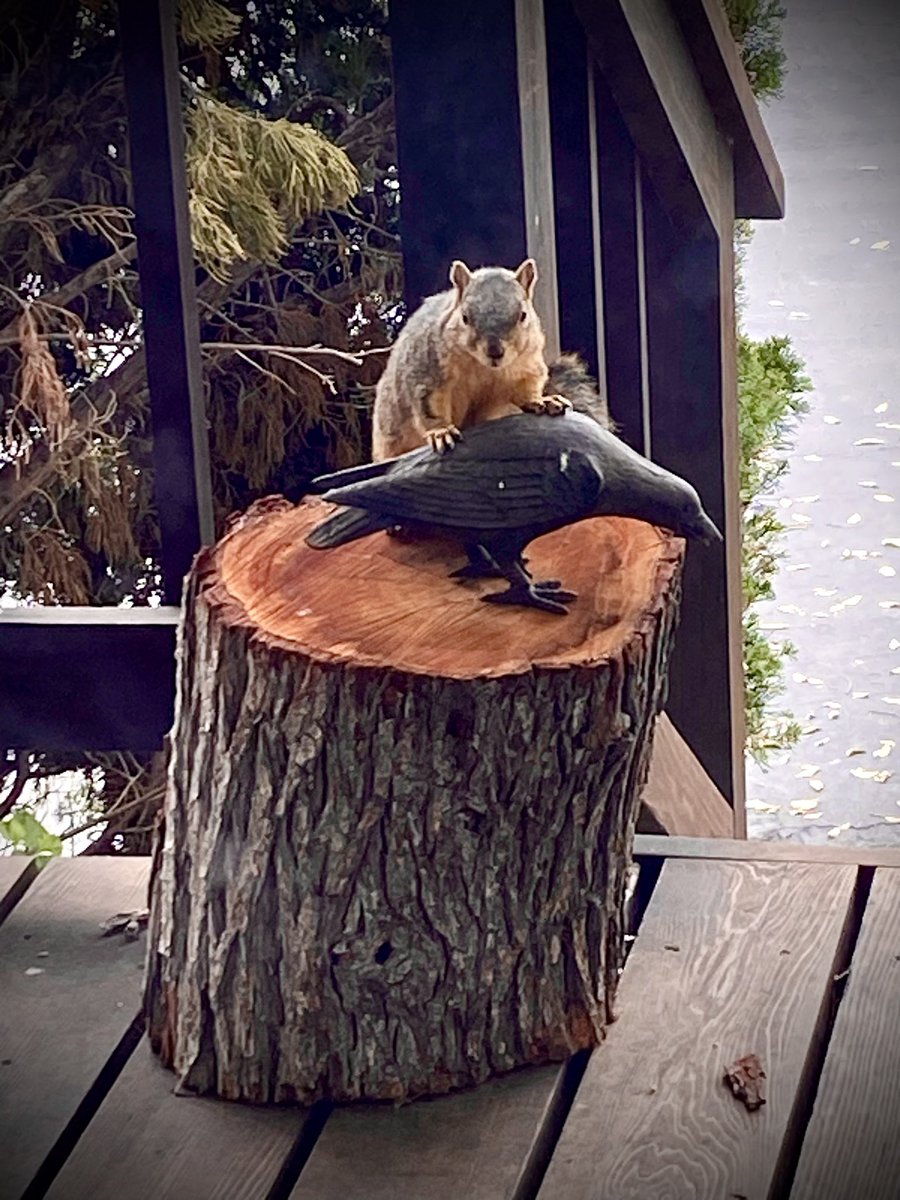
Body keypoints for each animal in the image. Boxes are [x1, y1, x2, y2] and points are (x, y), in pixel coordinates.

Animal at [372, 258, 610, 461]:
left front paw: (542, 400)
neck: (486, 369)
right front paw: (441, 431)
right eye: (465, 317)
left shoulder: (528, 367)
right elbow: (430, 407)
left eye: (523, 315)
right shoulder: (428, 373)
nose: (495, 352)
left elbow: (525, 390)